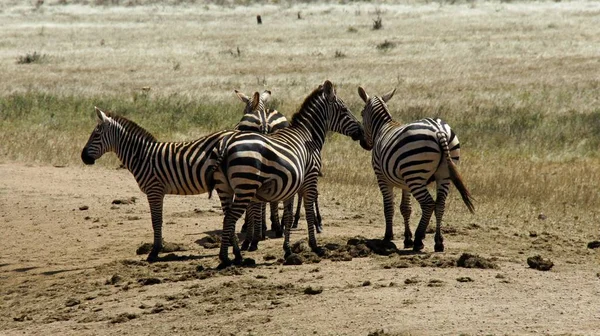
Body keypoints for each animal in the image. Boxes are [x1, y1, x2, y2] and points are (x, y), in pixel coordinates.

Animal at [80, 107, 239, 262]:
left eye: (96, 135)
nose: (83, 157)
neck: (142, 157)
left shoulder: (154, 189)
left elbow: (155, 220)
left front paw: (154, 252)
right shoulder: (158, 191)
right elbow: (158, 219)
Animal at [210, 79, 370, 268]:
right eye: (344, 110)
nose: (362, 134)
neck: (308, 135)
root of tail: (226, 146)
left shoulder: (291, 183)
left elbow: (287, 215)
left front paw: (287, 249)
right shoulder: (310, 177)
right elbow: (308, 212)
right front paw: (314, 245)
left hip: (226, 188)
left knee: (227, 217)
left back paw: (235, 254)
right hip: (246, 187)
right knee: (230, 219)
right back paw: (227, 258)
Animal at [356, 86, 474, 252]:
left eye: (361, 113)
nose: (363, 144)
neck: (383, 127)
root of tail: (439, 130)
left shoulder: (382, 177)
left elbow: (388, 207)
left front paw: (388, 237)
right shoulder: (405, 183)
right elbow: (406, 208)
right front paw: (407, 239)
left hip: (415, 176)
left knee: (428, 204)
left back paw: (419, 240)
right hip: (442, 174)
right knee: (440, 204)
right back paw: (438, 242)